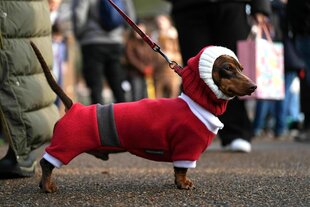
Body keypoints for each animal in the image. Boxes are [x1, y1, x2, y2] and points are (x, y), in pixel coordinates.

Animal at [30, 41, 256, 193]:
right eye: (227, 69)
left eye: (241, 68)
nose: (254, 86)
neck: (197, 104)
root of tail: (73, 106)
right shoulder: (186, 148)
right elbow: (181, 170)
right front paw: (183, 184)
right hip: (66, 145)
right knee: (46, 163)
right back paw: (47, 186)